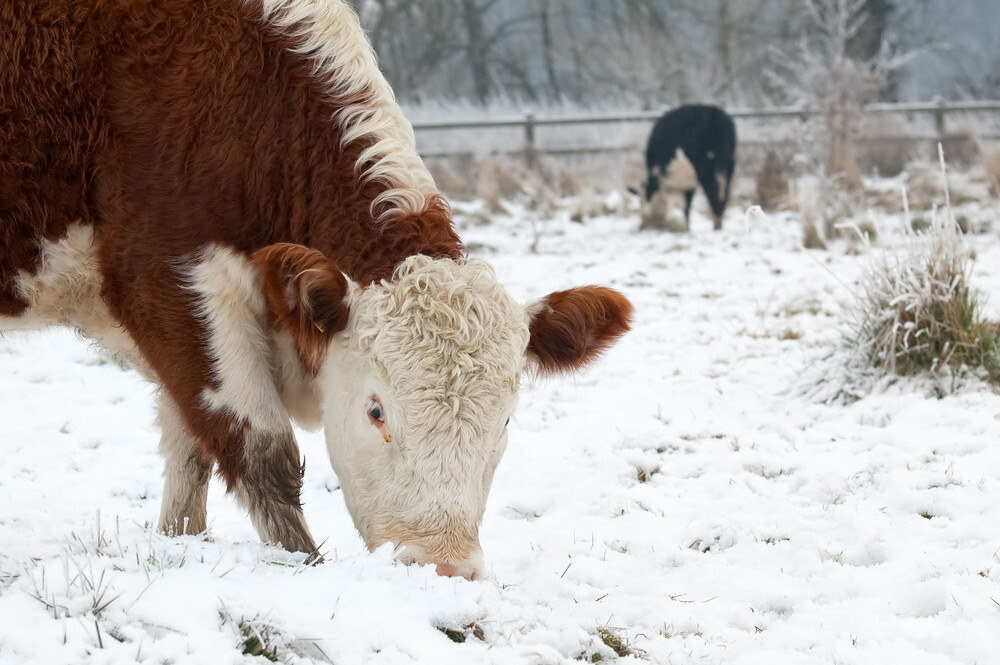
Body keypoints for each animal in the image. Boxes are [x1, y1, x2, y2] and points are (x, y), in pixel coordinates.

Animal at [0, 0, 632, 581]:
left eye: (504, 421)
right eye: (376, 411)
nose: (443, 566)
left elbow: (189, 453)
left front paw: (179, 546)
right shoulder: (172, 284)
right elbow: (261, 451)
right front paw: (303, 567)